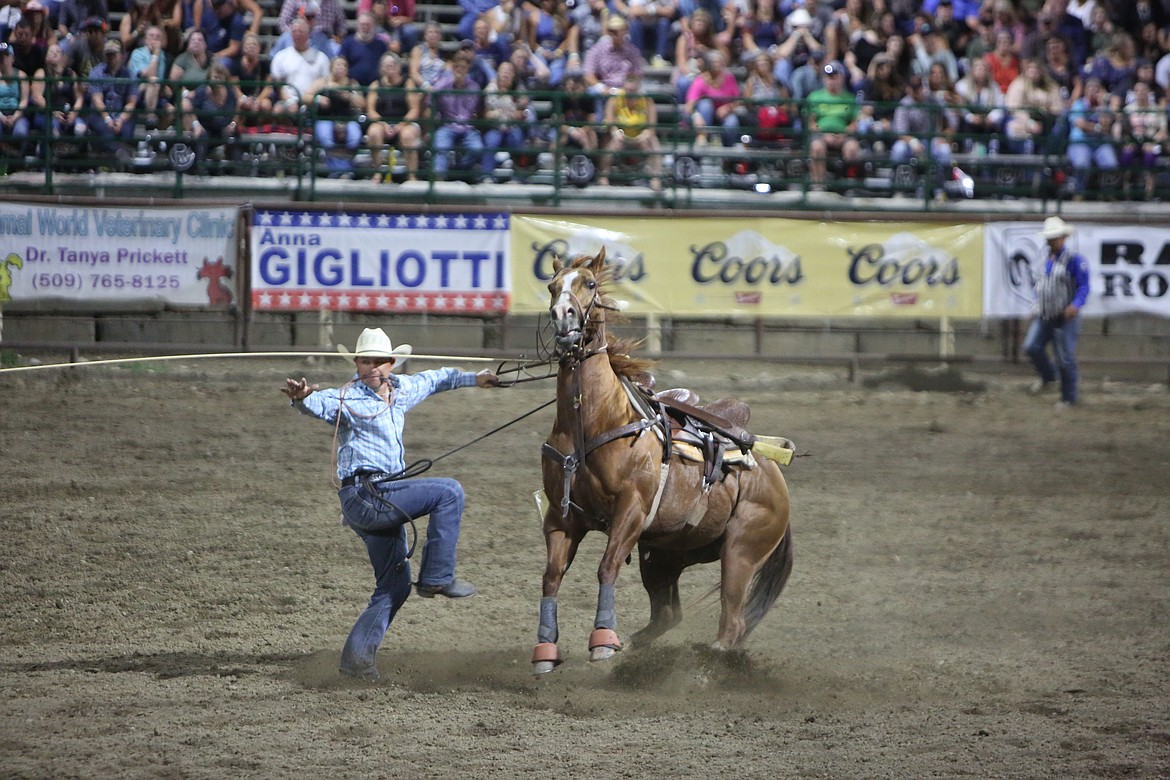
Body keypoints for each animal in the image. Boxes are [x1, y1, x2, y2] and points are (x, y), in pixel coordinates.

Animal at [533, 246, 795, 673]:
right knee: (668, 615)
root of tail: (774, 475)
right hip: (663, 554)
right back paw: (637, 652)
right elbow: (551, 575)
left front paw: (601, 642)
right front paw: (545, 650)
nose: (562, 316)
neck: (594, 420)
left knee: (732, 619)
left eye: (589, 284)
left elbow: (606, 566)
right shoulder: (561, 516)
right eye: (552, 287)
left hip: (741, 551)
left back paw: (707, 665)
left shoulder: (631, 511)